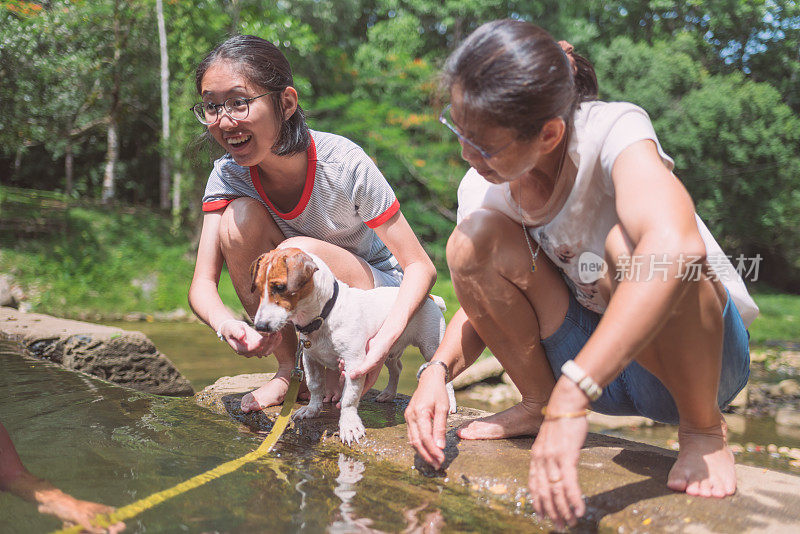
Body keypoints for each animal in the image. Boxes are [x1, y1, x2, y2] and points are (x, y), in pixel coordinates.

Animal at [253, 249, 460, 446]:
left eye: (279, 287)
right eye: (257, 289)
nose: (260, 326)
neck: (326, 314)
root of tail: (430, 296)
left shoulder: (354, 364)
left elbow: (349, 398)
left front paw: (349, 425)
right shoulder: (310, 359)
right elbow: (315, 386)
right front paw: (312, 409)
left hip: (430, 346)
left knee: (443, 373)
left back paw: (449, 402)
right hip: (386, 348)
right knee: (396, 369)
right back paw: (388, 393)